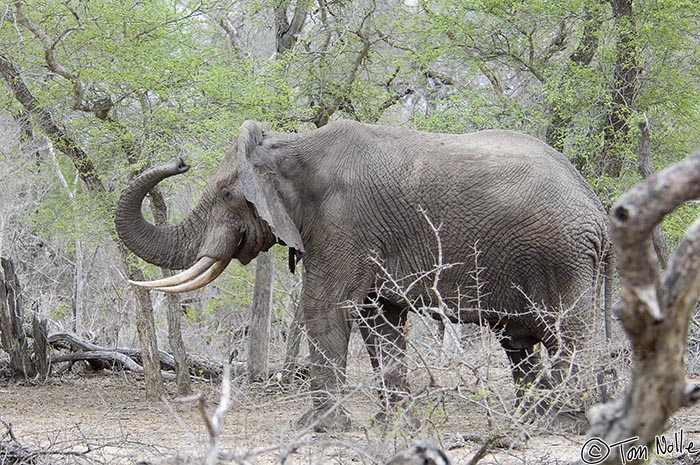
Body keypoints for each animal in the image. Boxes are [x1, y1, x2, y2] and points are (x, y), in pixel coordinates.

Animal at [113, 119, 608, 432]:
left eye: (226, 194)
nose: (179, 161)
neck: (293, 146)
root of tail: (598, 209)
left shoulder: (342, 223)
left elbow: (324, 308)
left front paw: (317, 429)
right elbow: (380, 320)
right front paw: (394, 426)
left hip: (563, 257)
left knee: (570, 333)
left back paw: (563, 423)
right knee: (520, 341)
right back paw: (536, 420)